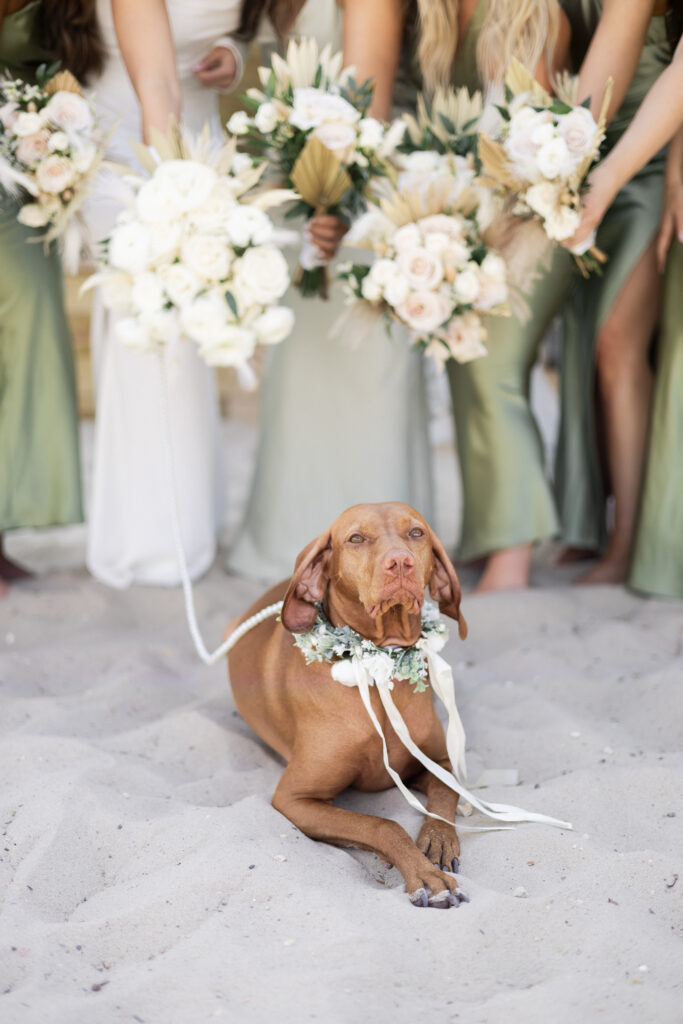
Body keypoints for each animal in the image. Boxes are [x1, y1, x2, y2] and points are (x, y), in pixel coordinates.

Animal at [228, 499, 471, 909]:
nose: (401, 562)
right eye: (356, 538)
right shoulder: (294, 798)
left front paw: (437, 840)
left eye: (416, 532)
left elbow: (444, 794)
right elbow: (382, 824)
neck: (376, 669)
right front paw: (424, 874)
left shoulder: (440, 759)